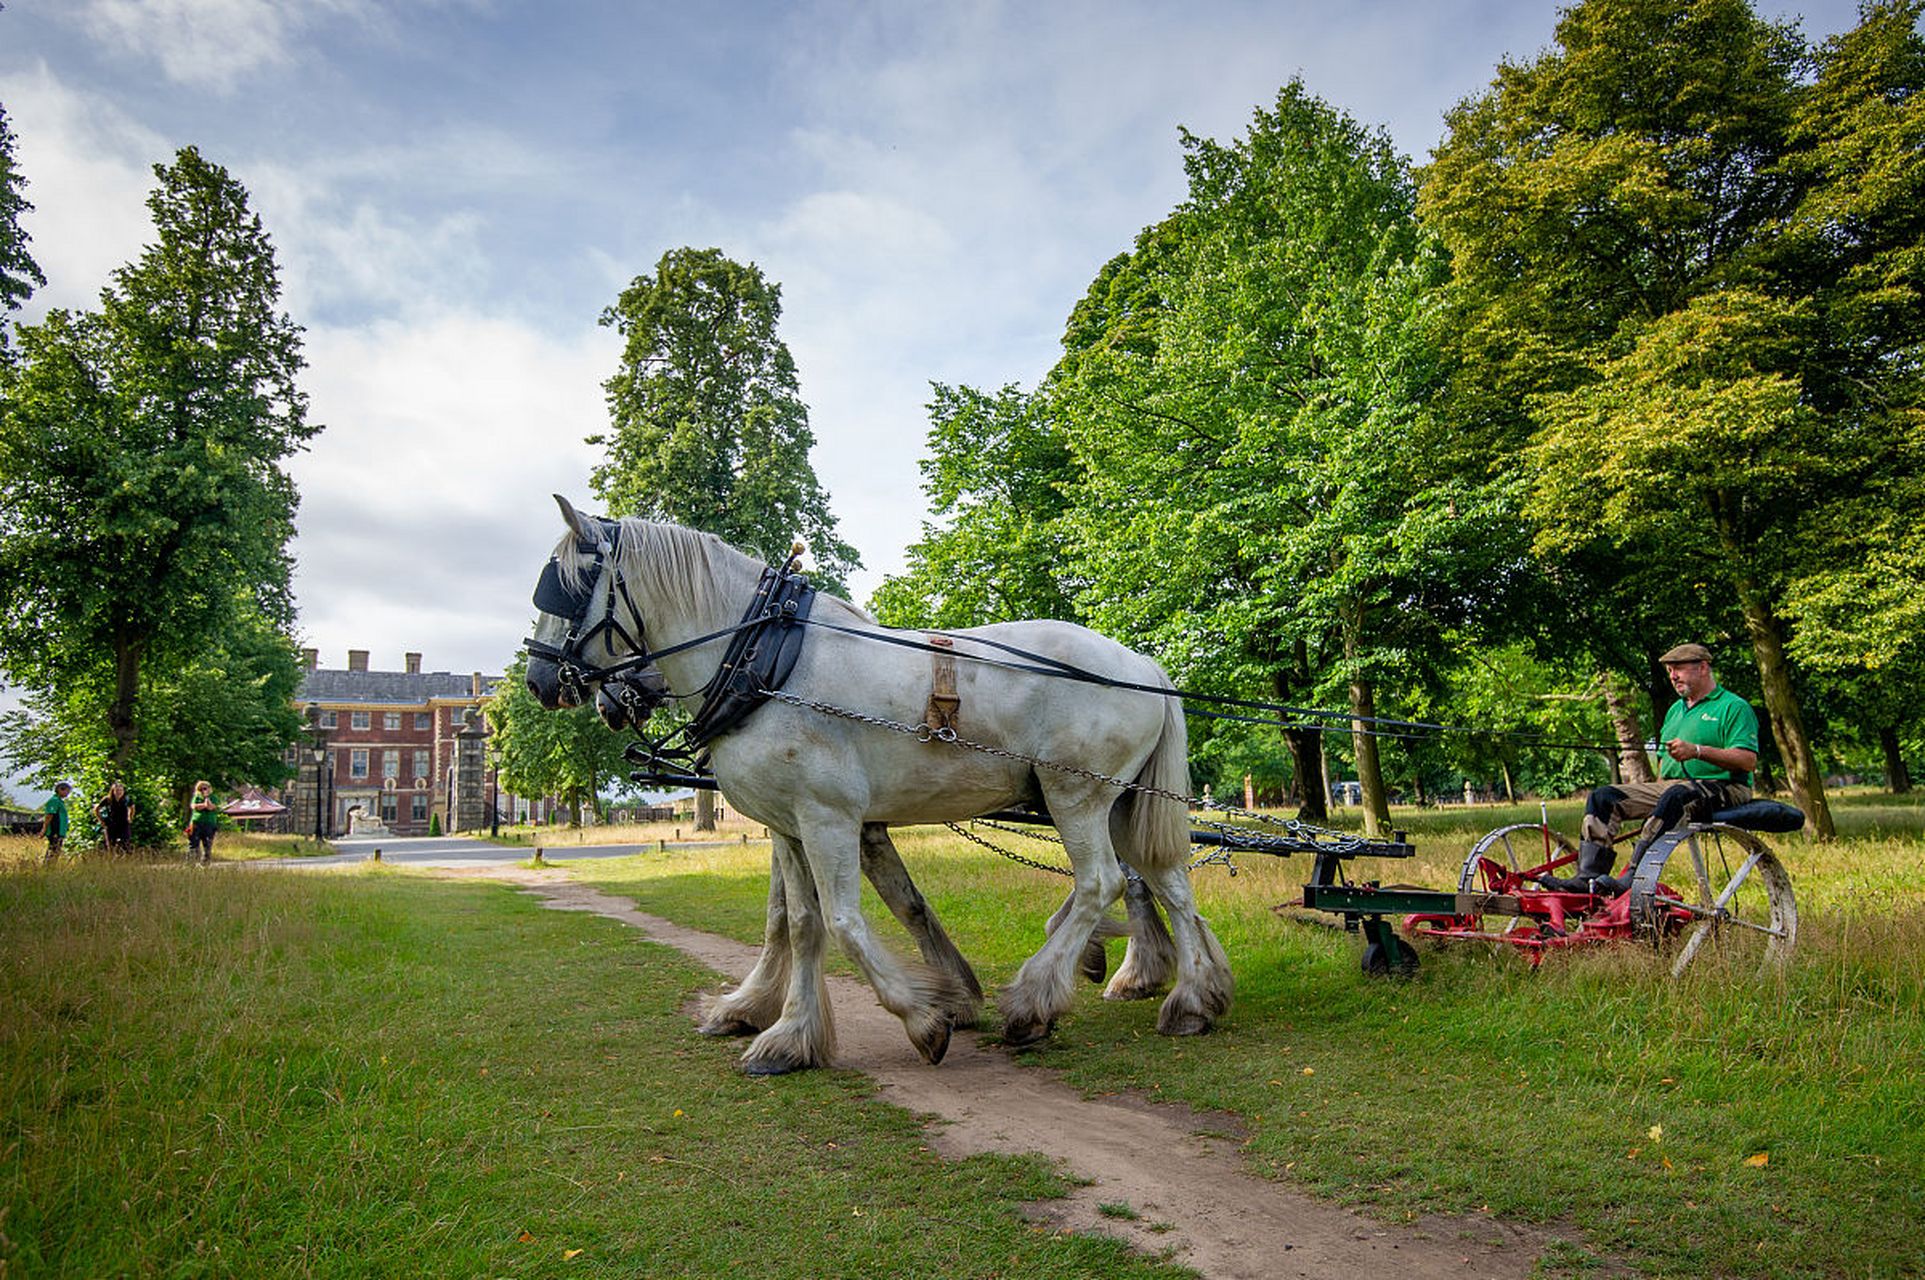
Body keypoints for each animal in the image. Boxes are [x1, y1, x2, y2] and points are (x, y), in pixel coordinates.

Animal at [519, 492, 1224, 1070]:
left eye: (566, 589)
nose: (539, 681)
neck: (764, 660)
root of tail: (1144, 667)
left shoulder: (829, 816)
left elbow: (843, 922)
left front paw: (926, 1017)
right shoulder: (787, 825)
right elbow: (798, 923)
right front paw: (789, 1035)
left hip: (1076, 796)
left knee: (1102, 883)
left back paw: (1034, 1002)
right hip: (1122, 802)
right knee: (1168, 880)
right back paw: (1192, 1000)